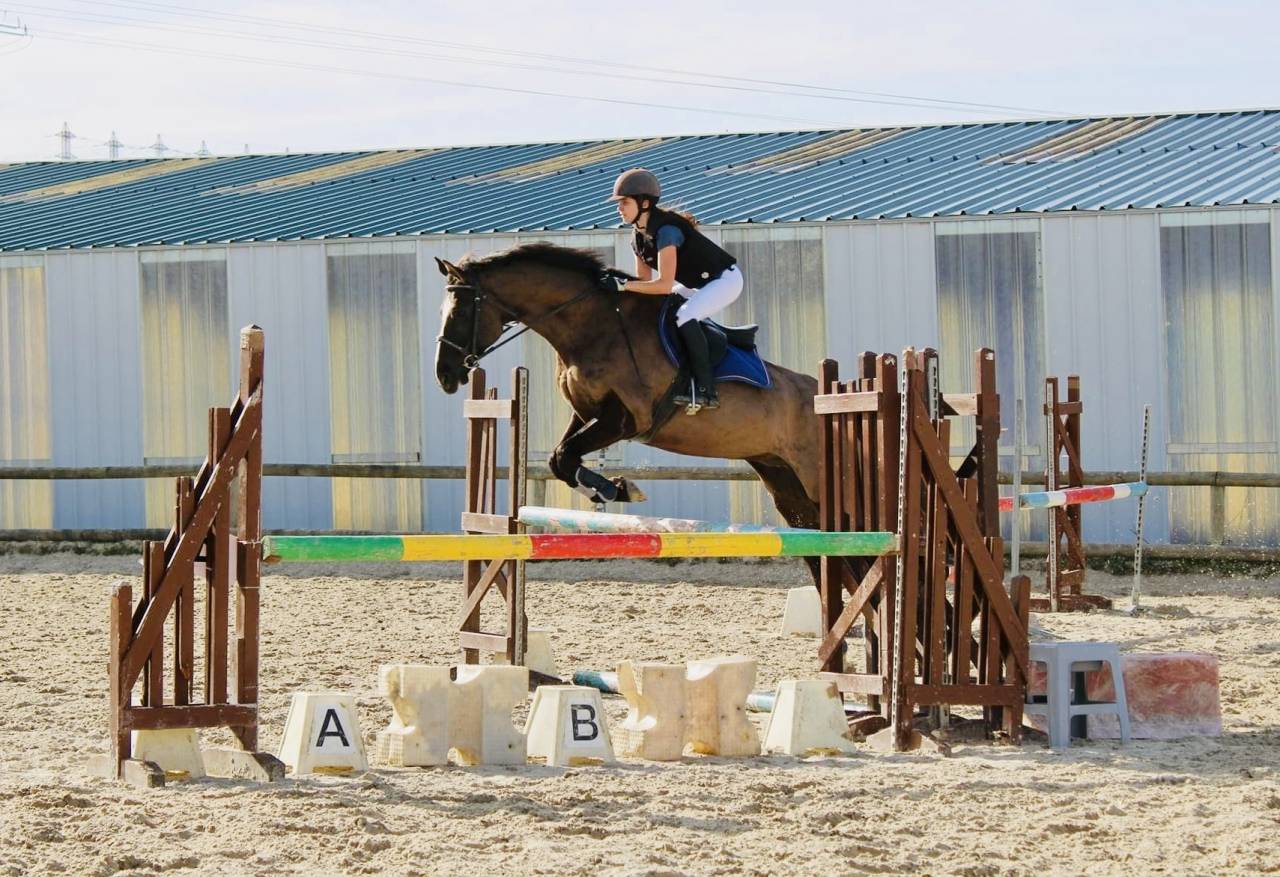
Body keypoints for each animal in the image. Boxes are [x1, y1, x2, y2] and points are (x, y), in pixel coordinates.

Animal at [433, 242, 824, 549]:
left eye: (462, 311)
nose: (445, 375)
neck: (592, 326)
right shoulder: (585, 412)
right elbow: (560, 459)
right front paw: (612, 488)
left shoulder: (626, 418)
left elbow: (565, 454)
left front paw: (615, 488)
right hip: (781, 479)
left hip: (812, 476)